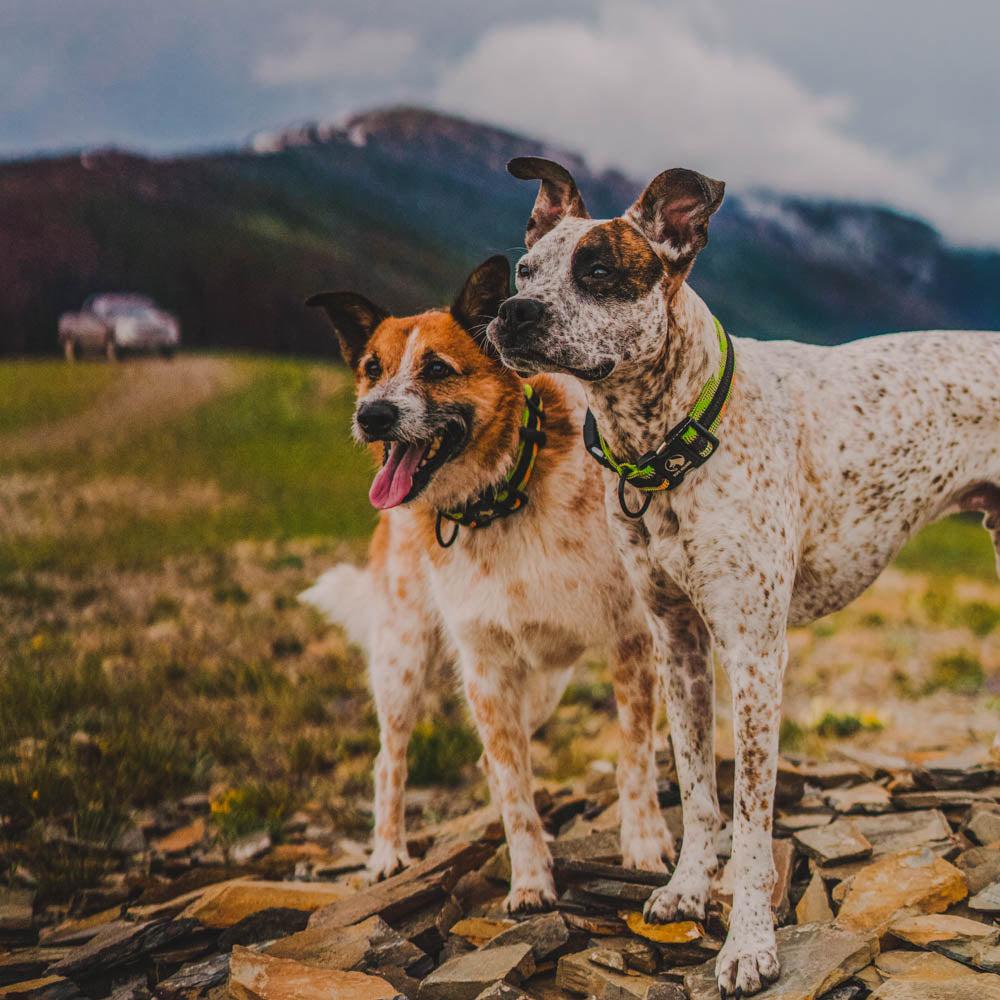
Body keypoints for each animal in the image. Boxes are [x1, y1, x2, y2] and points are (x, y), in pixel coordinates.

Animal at [304, 256, 676, 908]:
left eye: (437, 369)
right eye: (372, 369)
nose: (372, 416)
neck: (502, 496)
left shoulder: (632, 641)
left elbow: (634, 758)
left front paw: (644, 847)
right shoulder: (486, 670)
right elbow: (512, 789)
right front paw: (529, 881)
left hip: (546, 683)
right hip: (402, 658)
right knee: (391, 760)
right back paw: (387, 854)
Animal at [490, 156, 1000, 992]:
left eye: (598, 272)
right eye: (525, 268)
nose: (512, 314)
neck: (672, 442)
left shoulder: (756, 653)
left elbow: (754, 822)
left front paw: (750, 945)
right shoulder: (678, 645)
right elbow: (699, 794)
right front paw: (689, 890)